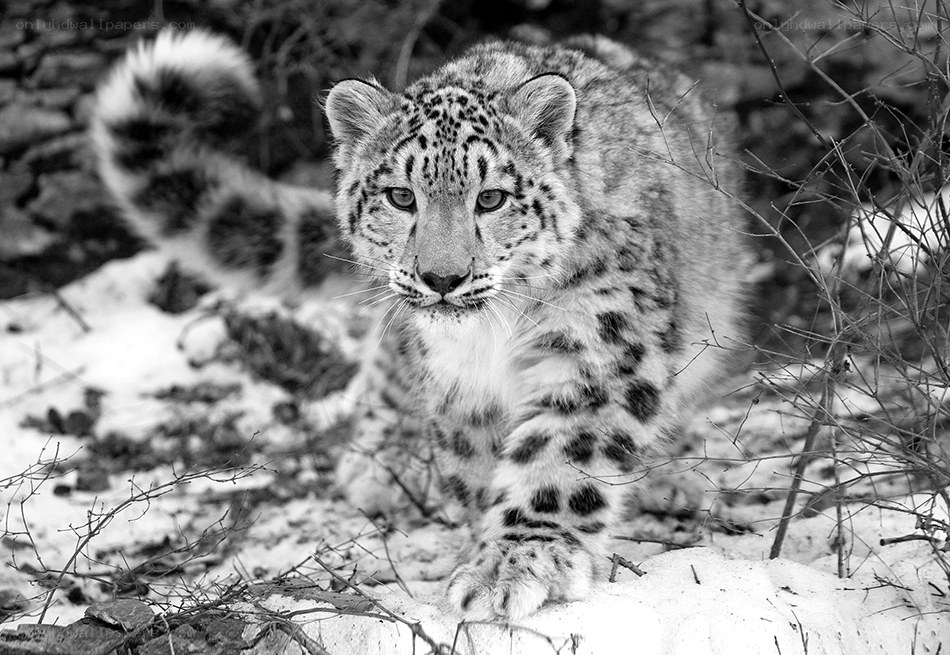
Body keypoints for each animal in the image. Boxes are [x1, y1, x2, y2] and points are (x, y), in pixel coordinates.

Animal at [91, 29, 747, 620]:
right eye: (401, 196)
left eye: (492, 198)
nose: (442, 277)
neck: (493, 337)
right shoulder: (458, 383)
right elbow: (476, 468)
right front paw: (483, 550)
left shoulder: (597, 345)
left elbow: (561, 456)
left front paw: (518, 563)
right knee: (386, 362)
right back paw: (379, 463)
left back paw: (671, 479)